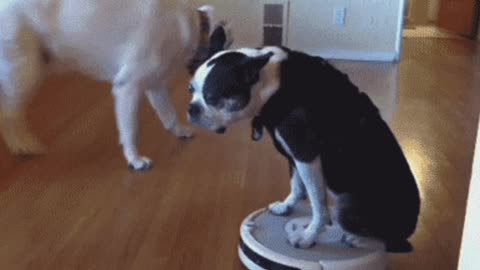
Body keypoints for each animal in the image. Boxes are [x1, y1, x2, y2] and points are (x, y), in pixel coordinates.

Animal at [0, 0, 232, 170]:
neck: (194, 27)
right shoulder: (127, 88)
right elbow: (130, 131)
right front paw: (134, 159)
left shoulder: (155, 85)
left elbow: (168, 114)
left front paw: (179, 131)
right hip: (25, 72)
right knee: (9, 114)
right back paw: (22, 144)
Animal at [188, 47, 420, 253]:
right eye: (191, 90)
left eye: (211, 97)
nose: (191, 108)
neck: (273, 85)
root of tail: (410, 228)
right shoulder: (293, 155)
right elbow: (297, 185)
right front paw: (287, 206)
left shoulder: (305, 155)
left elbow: (318, 205)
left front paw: (309, 236)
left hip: (347, 207)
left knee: (386, 241)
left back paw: (357, 239)